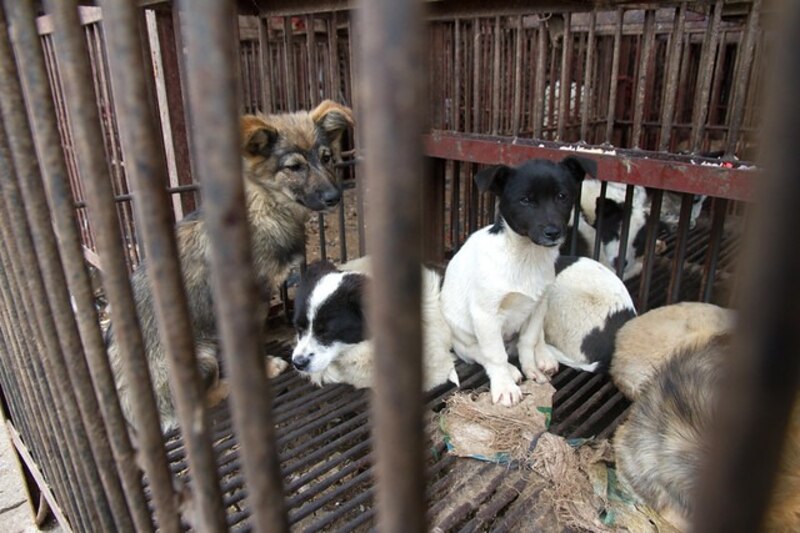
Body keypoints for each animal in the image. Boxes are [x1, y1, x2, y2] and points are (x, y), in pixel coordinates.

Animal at [105, 101, 354, 432]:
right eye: (294, 167)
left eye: (326, 158)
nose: (334, 197)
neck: (264, 206)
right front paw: (263, 367)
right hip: (204, 357)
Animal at [440, 156, 596, 406]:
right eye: (525, 200)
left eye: (562, 196)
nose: (553, 232)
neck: (526, 257)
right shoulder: (485, 314)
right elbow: (494, 355)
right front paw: (504, 385)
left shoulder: (538, 304)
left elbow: (529, 340)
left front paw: (532, 368)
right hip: (462, 337)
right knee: (480, 352)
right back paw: (510, 371)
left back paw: (543, 356)